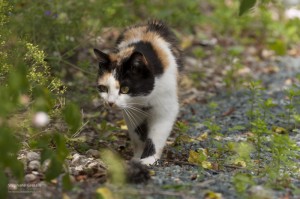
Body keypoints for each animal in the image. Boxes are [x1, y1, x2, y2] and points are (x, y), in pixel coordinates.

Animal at [94, 21, 182, 166]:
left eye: (124, 89)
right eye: (103, 88)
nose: (110, 103)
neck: (143, 99)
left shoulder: (166, 107)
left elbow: (156, 135)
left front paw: (148, 159)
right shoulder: (132, 111)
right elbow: (137, 134)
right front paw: (138, 157)